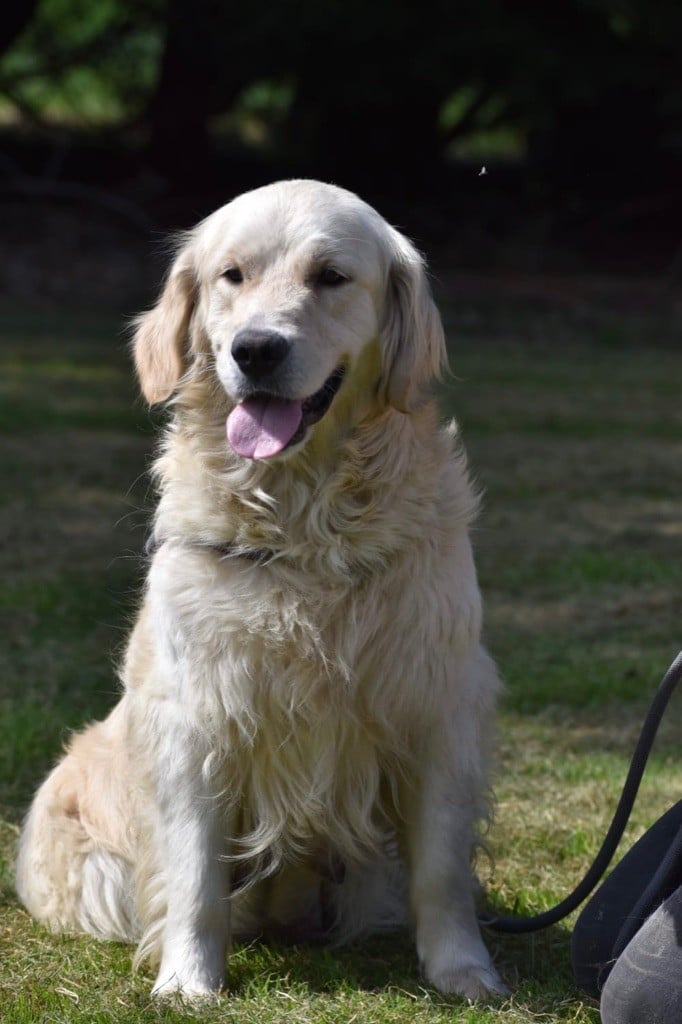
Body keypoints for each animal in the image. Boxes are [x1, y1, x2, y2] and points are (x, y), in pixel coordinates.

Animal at [16, 179, 505, 1000]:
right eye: (231, 276)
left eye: (331, 277)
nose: (256, 349)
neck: (305, 519)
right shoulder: (196, 719)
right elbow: (194, 876)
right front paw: (187, 980)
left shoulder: (436, 705)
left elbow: (440, 870)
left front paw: (464, 970)